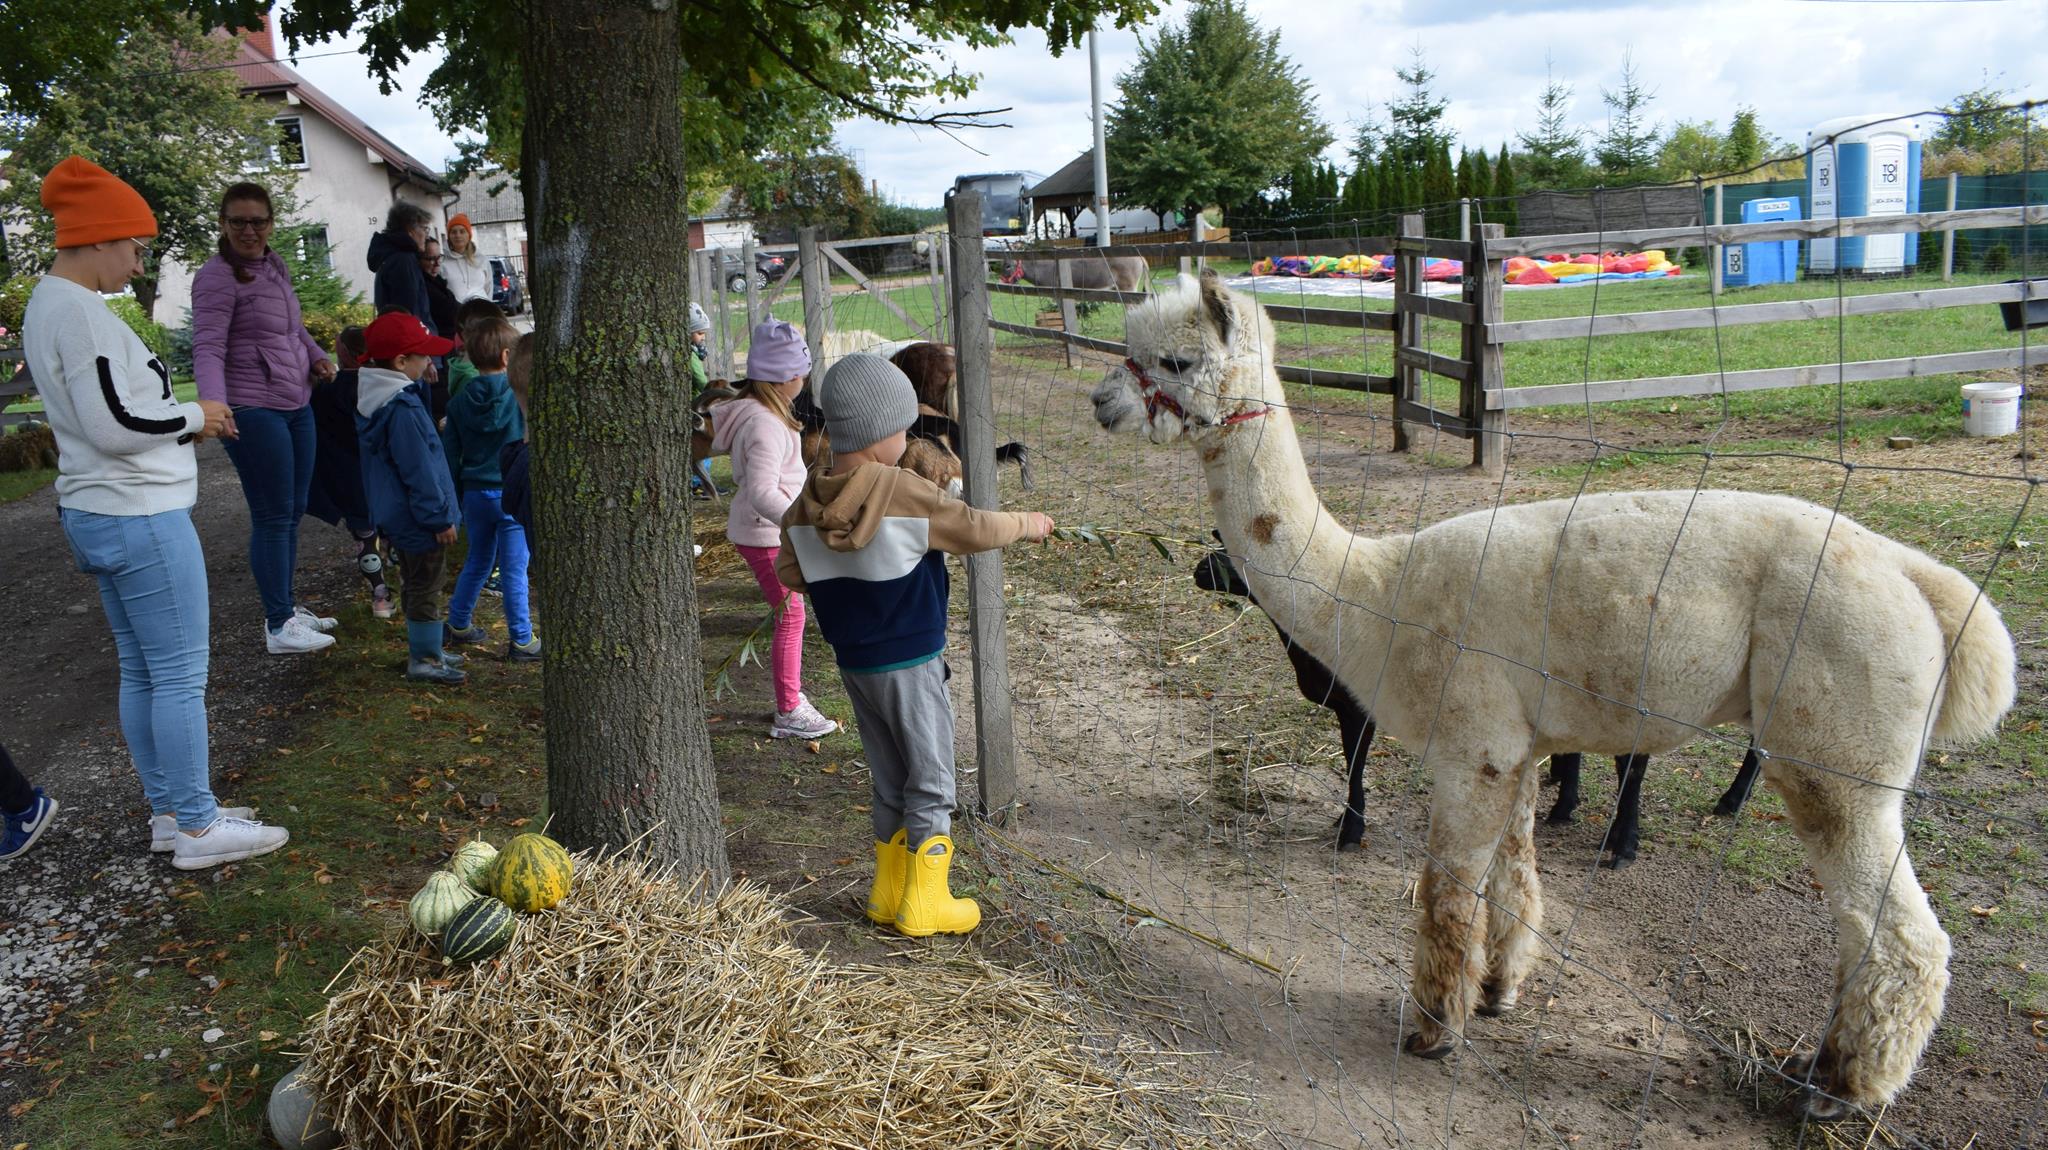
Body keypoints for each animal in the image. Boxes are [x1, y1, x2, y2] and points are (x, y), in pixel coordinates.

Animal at [1091, 270, 2015, 1118]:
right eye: (1132, 349)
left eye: (1174, 361)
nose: (1102, 401)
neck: (1375, 592)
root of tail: (1918, 579)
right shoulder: (1518, 744)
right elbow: (1516, 881)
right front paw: (1498, 991)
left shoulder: (1472, 744)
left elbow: (1446, 897)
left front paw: (1432, 1031)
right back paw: (1827, 1069)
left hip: (1838, 747)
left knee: (1903, 936)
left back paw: (1840, 1088)